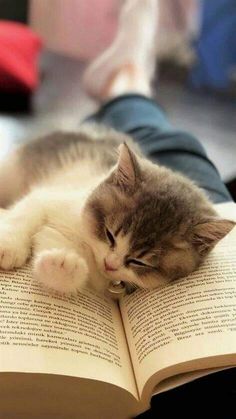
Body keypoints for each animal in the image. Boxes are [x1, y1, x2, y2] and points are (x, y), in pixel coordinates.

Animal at [0, 124, 234, 296]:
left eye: (139, 262)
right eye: (109, 235)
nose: (110, 264)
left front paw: (62, 266)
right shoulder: (49, 196)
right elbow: (26, 213)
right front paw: (9, 246)